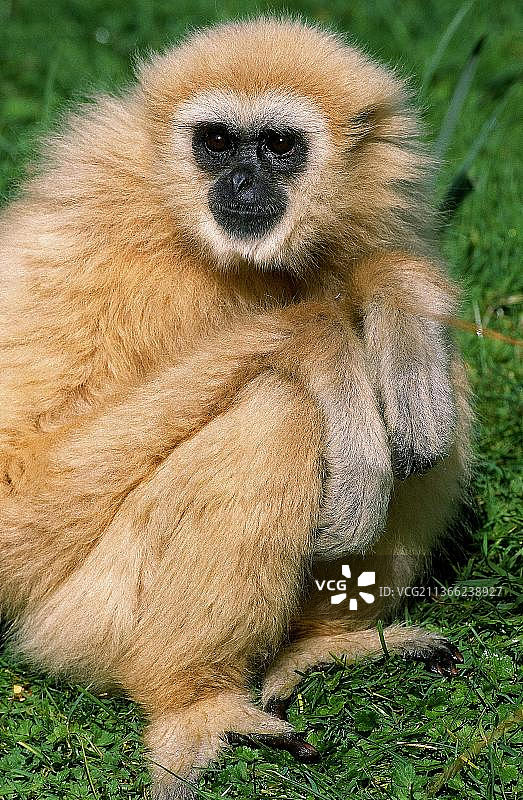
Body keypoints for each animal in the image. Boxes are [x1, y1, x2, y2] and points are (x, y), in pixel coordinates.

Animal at [0, 18, 472, 799]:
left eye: (277, 145)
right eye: (217, 141)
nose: (242, 180)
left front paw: (390, 287)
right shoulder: (89, 229)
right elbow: (22, 480)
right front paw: (323, 334)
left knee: (436, 393)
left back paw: (322, 649)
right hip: (83, 620)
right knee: (278, 410)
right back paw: (196, 702)